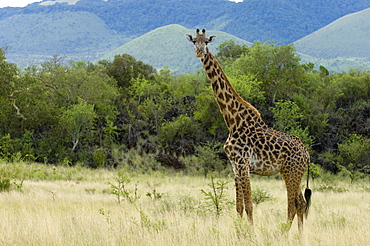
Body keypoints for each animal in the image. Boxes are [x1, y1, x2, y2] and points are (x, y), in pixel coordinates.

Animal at [186, 28, 310, 231]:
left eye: (207, 42)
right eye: (194, 41)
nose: (199, 51)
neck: (233, 121)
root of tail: (306, 154)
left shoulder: (243, 164)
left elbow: (249, 205)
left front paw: (251, 234)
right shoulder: (235, 166)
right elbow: (238, 206)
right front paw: (239, 233)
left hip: (291, 172)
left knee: (293, 204)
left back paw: (283, 234)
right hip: (292, 173)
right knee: (301, 203)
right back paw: (300, 235)